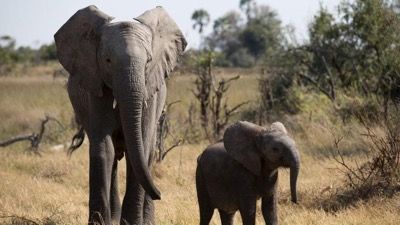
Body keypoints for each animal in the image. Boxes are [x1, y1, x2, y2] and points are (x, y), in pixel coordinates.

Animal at [54, 5, 187, 225]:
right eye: (107, 60)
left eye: (149, 61)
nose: (159, 194)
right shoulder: (95, 86)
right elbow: (103, 148)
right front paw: (100, 223)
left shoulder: (150, 94)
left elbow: (141, 148)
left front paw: (131, 223)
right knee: (114, 158)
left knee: (147, 152)